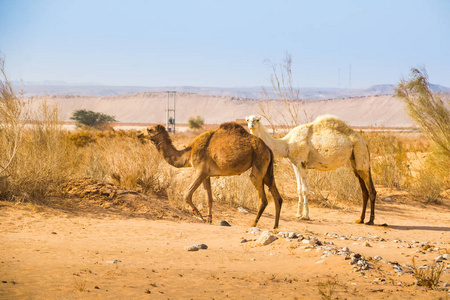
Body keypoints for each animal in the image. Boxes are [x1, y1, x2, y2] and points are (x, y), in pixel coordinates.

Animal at [143, 122, 284, 227]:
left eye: (149, 129)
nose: (139, 134)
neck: (189, 153)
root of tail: (268, 148)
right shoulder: (206, 175)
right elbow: (209, 199)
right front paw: (209, 219)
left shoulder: (200, 171)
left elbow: (186, 194)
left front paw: (199, 215)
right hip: (267, 168)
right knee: (276, 195)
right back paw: (275, 226)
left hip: (259, 160)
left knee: (262, 197)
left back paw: (253, 224)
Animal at [246, 115, 376, 225]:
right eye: (247, 119)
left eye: (257, 119)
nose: (251, 125)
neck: (287, 144)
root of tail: (365, 142)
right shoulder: (295, 163)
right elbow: (298, 189)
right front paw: (298, 214)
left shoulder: (302, 163)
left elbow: (304, 190)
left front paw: (306, 216)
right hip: (355, 160)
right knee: (364, 189)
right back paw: (360, 219)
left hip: (361, 153)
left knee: (371, 189)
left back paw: (370, 221)